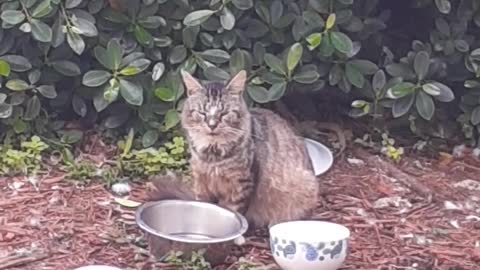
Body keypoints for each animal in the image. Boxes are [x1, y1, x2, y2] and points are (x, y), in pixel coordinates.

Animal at [151, 69, 318, 228]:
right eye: (202, 113)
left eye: (224, 113)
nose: (212, 125)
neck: (212, 155)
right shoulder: (201, 180)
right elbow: (203, 205)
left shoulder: (241, 184)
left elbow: (233, 211)